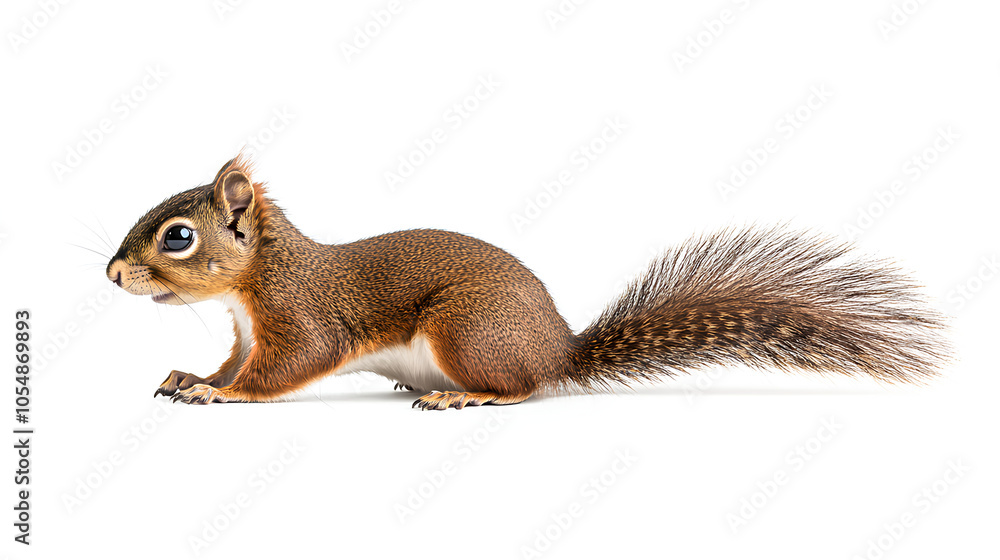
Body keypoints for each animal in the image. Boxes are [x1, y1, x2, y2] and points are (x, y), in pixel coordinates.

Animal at [105, 155, 949, 410]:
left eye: (178, 236)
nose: (111, 273)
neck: (261, 277)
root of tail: (557, 350)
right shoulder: (247, 330)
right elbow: (230, 360)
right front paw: (191, 376)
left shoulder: (300, 319)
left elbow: (285, 368)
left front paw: (221, 396)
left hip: (466, 331)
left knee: (523, 388)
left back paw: (465, 395)